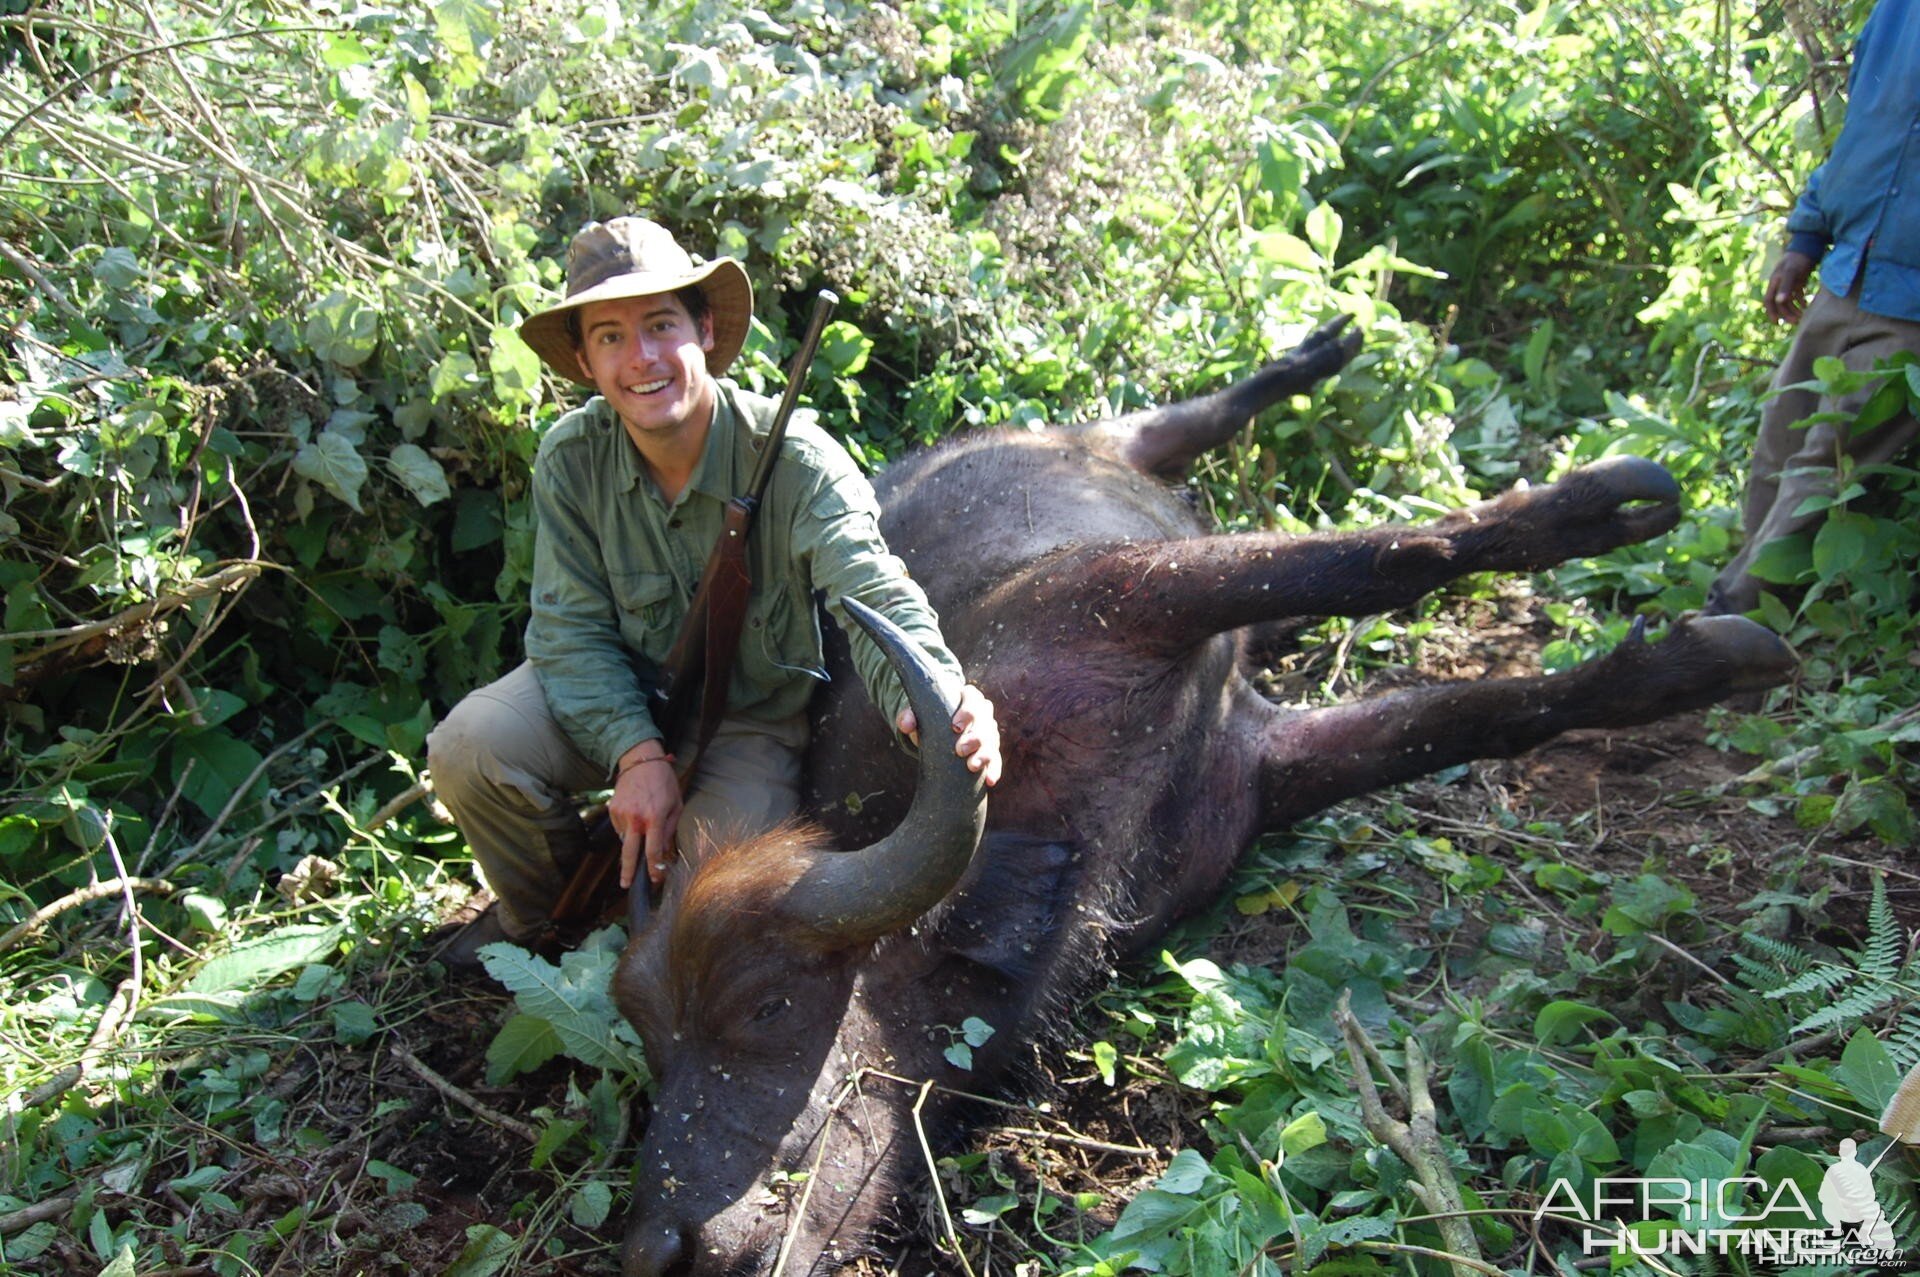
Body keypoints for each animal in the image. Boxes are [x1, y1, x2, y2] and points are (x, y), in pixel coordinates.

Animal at [606, 313, 1789, 1267]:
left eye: (764, 1005)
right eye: (656, 1051)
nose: (664, 1247)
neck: (1048, 834)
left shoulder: (1126, 594)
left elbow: (1382, 561)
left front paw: (1608, 512)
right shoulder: (1267, 769)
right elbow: (1461, 715)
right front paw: (1691, 664)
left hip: (1119, 451)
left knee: (1193, 423)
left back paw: (1323, 354)